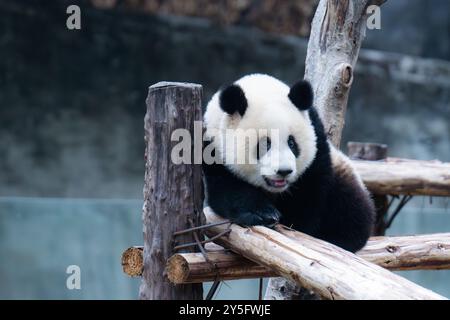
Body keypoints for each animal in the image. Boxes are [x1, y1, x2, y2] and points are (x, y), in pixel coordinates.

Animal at [202, 74, 374, 251]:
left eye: (292, 143)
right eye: (265, 144)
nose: (283, 171)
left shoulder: (317, 144)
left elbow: (310, 193)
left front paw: (293, 222)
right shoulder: (213, 148)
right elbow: (228, 190)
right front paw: (263, 214)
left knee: (352, 208)